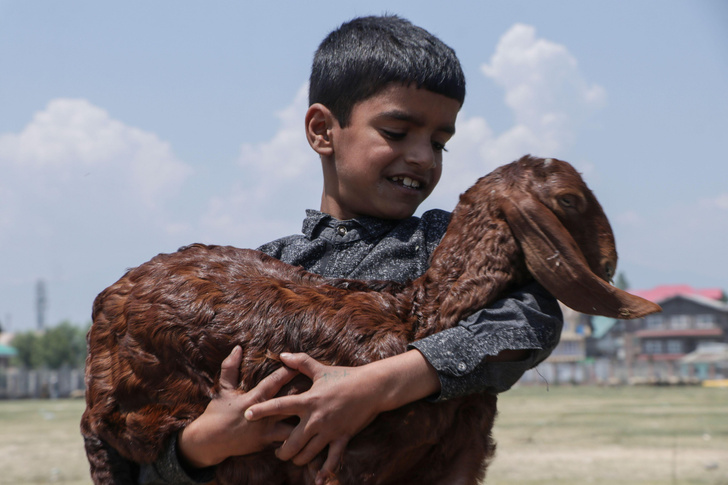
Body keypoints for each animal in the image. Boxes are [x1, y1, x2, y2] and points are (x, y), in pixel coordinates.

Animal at [79, 155, 660, 484]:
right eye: (569, 199)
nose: (608, 260)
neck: (419, 317)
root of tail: (106, 303)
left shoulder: (458, 460)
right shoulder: (343, 460)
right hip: (133, 410)